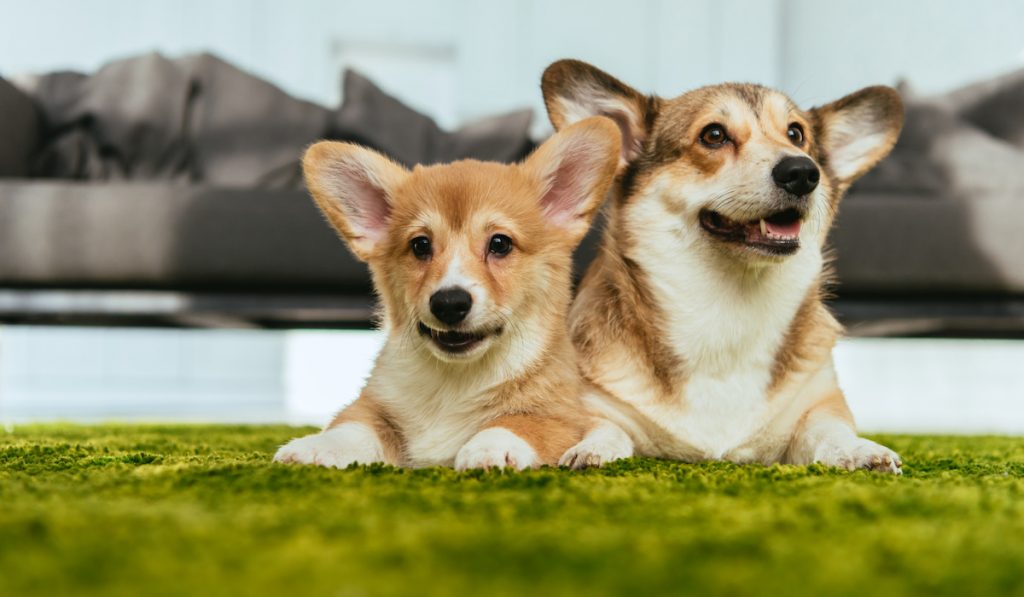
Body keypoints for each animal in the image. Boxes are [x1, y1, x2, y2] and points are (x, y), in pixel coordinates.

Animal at [274, 116, 622, 471]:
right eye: (420, 245)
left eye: (500, 243)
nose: (449, 303)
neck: (455, 380)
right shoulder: (373, 405)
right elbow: (352, 427)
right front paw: (315, 447)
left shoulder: (558, 418)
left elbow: (514, 423)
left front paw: (489, 448)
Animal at [544, 59, 905, 471]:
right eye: (714, 135)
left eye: (796, 134)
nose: (802, 172)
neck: (727, 309)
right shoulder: (596, 405)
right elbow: (603, 428)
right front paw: (591, 450)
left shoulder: (818, 404)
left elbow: (829, 431)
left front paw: (860, 450)